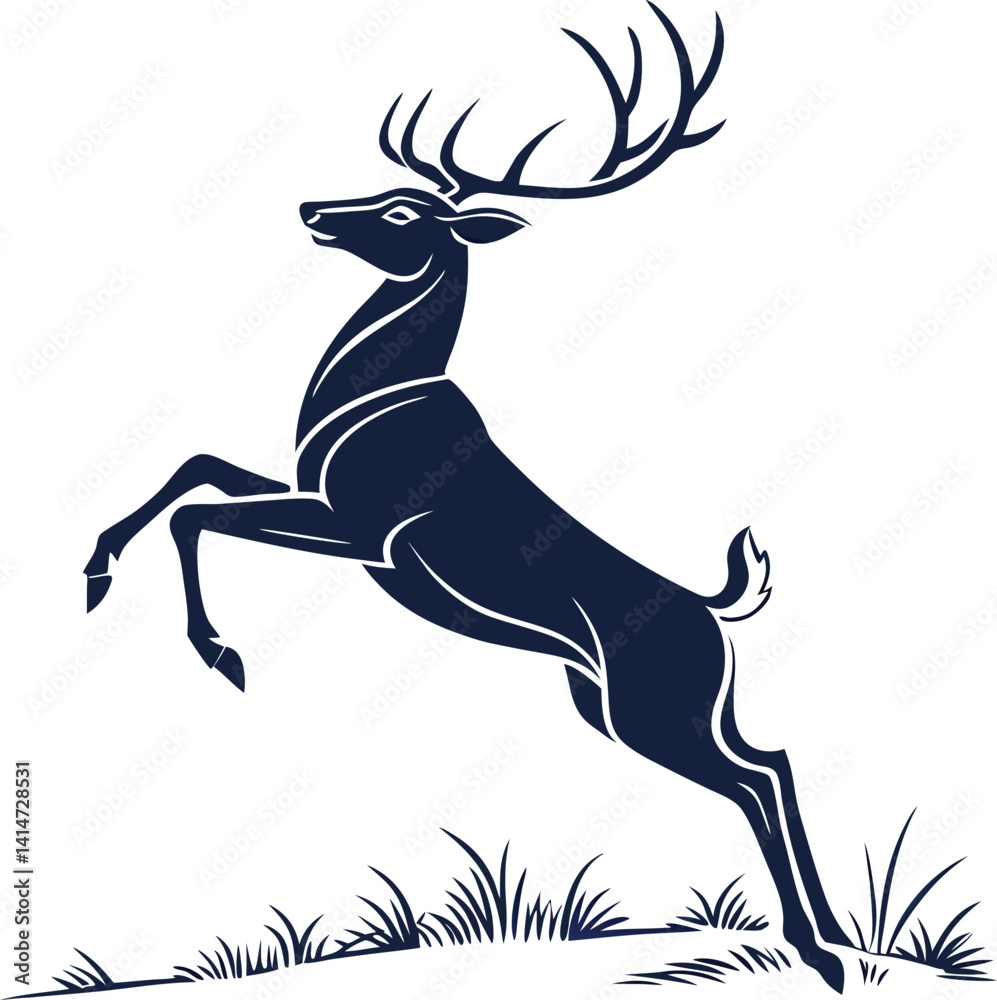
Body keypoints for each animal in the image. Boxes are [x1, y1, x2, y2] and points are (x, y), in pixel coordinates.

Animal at [82, 4, 850, 990]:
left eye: (403, 210)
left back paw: (820, 953)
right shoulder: (311, 493)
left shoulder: (362, 532)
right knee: (771, 760)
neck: (369, 401)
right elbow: (195, 467)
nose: (311, 209)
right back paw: (832, 940)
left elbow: (197, 512)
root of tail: (715, 611)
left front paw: (224, 655)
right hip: (626, 704)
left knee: (756, 775)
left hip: (651, 707)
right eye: (380, 187)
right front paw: (95, 574)